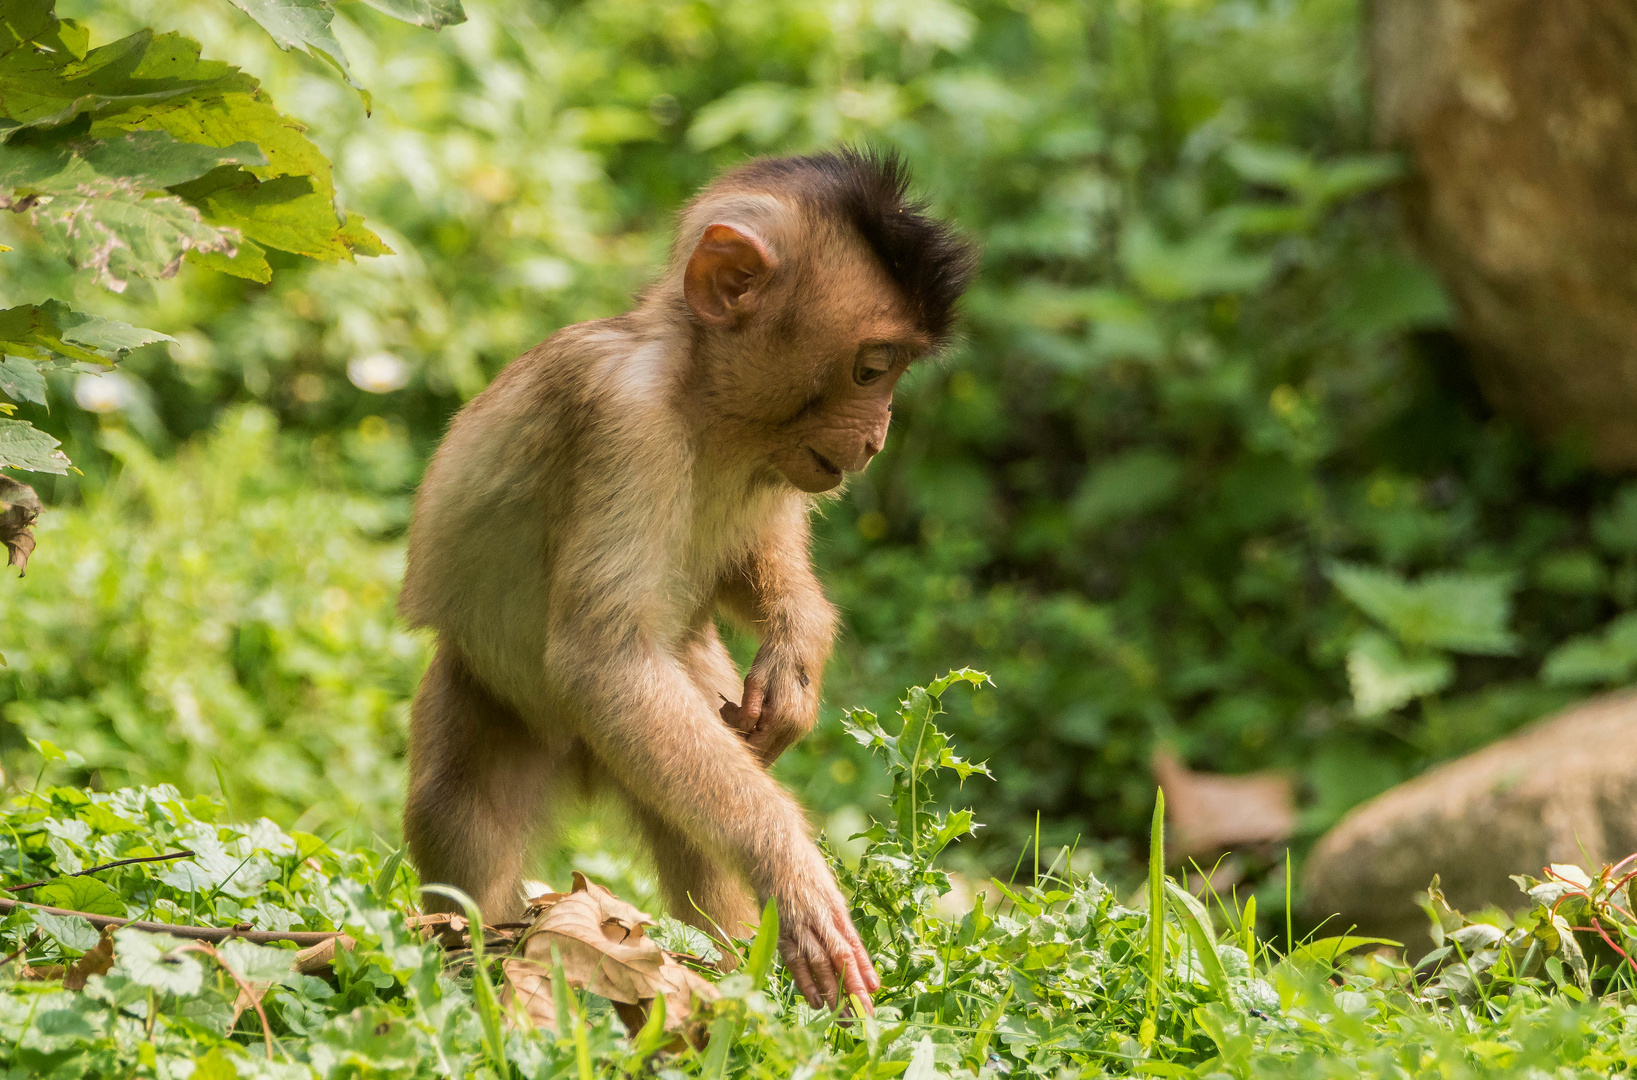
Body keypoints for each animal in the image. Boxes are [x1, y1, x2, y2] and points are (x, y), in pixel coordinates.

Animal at [399, 147, 969, 1008]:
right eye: (873, 369)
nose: (876, 437)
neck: (701, 396)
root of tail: (582, 766)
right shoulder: (624, 420)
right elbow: (602, 658)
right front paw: (792, 872)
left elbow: (744, 561)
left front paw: (797, 652)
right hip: (507, 703)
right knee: (458, 809)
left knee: (690, 816)